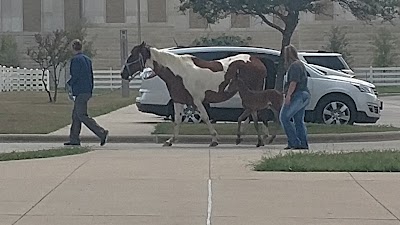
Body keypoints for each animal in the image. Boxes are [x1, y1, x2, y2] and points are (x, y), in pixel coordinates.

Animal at [120, 42, 268, 147]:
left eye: (133, 55)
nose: (123, 73)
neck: (178, 72)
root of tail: (258, 62)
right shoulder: (178, 100)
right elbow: (177, 120)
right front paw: (170, 140)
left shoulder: (197, 101)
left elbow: (206, 118)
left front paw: (214, 140)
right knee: (252, 114)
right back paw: (246, 136)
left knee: (254, 113)